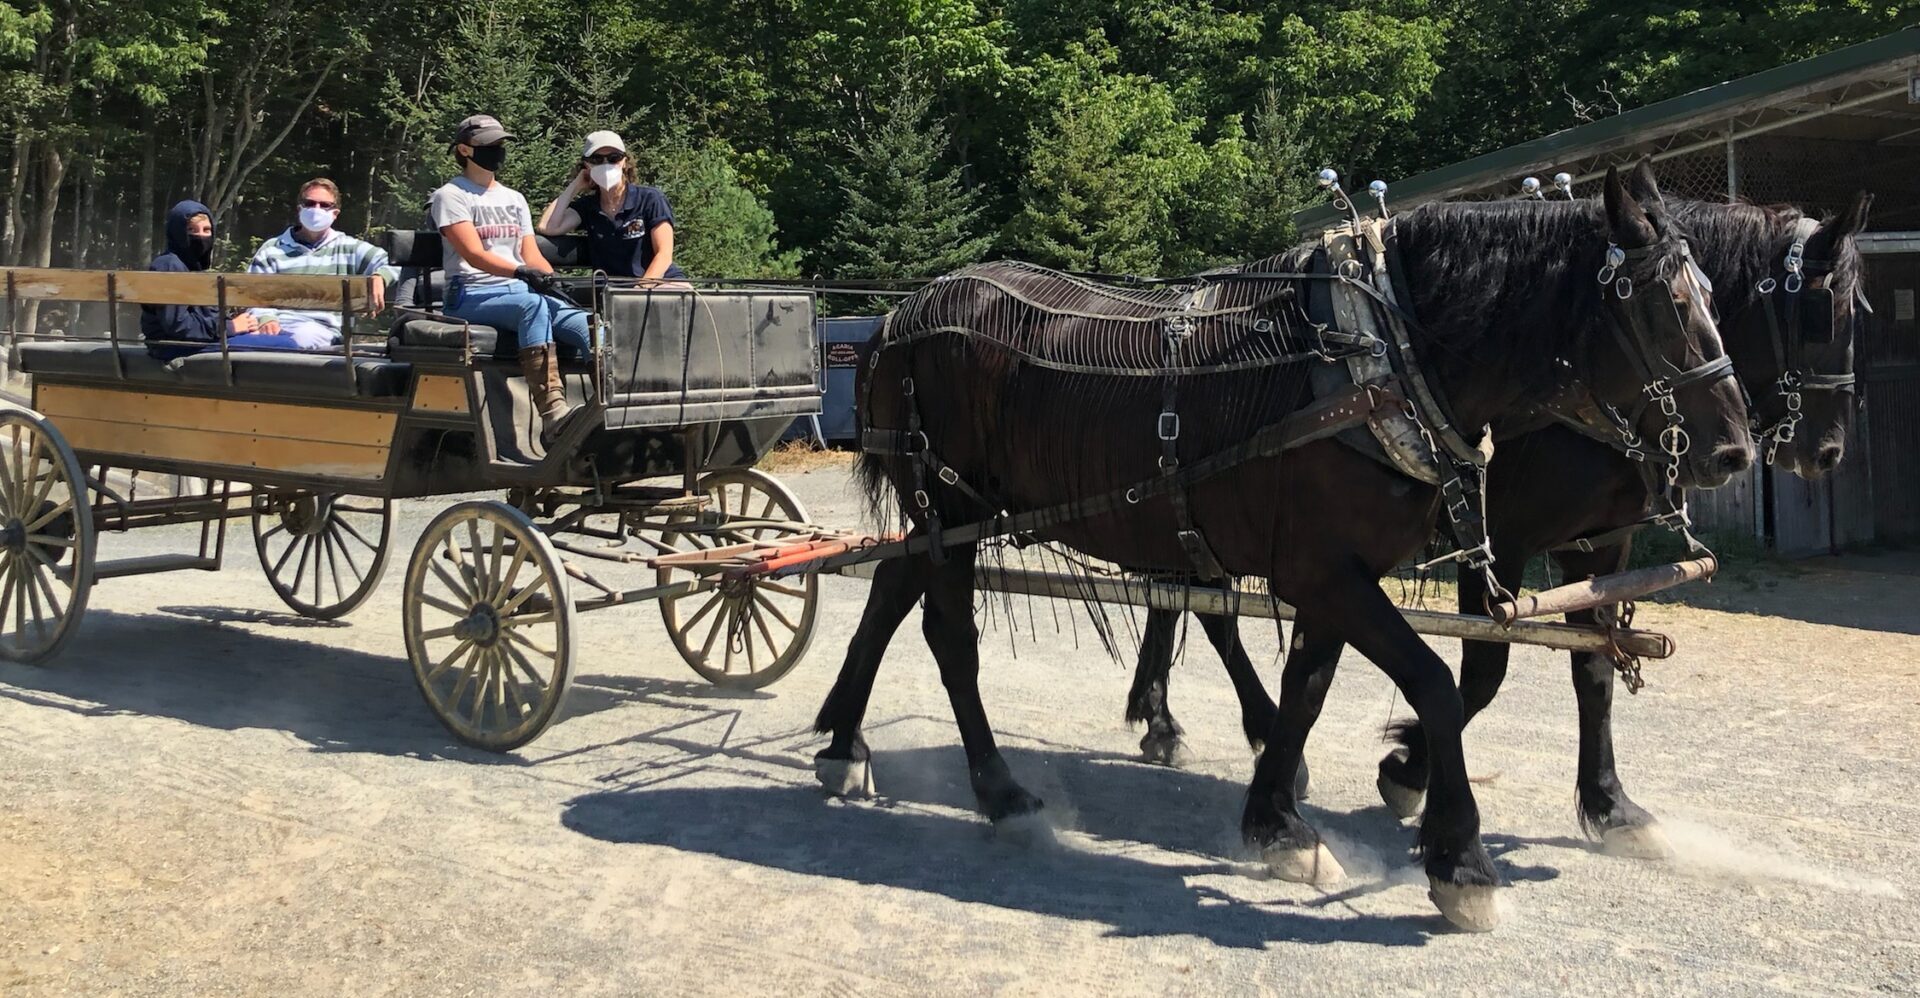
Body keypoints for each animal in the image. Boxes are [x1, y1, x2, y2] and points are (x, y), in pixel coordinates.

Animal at [813, 164, 1752, 931]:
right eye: (1667, 304)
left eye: (1716, 296)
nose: (1734, 450)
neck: (1374, 361)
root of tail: (901, 315)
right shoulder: (1327, 572)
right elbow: (1436, 687)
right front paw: (1460, 860)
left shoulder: (1331, 573)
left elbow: (1308, 691)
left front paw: (1276, 822)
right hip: (952, 506)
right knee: (950, 639)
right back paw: (1000, 793)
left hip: (944, 516)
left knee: (892, 588)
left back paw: (842, 742)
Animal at [1121, 192, 1871, 861]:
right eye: (1817, 313)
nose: (1830, 451)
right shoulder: (1499, 542)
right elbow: (1484, 671)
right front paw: (1410, 769)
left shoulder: (1598, 545)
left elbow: (1594, 671)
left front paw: (1609, 805)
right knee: (1202, 607)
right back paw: (1216, 725)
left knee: (1182, 598)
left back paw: (1162, 718)